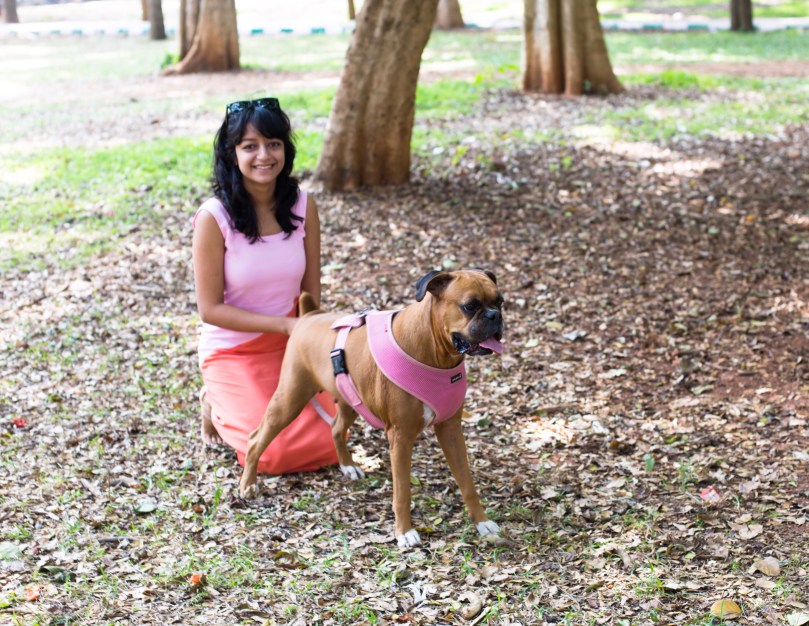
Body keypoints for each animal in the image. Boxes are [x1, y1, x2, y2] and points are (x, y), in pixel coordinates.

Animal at [238, 269, 505, 547]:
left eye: (500, 302)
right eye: (470, 306)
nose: (495, 316)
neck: (435, 353)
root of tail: (310, 316)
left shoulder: (451, 430)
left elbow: (467, 482)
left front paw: (482, 522)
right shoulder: (400, 437)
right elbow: (402, 492)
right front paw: (404, 532)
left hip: (349, 400)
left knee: (336, 428)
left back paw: (348, 465)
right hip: (290, 399)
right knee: (256, 438)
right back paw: (248, 485)